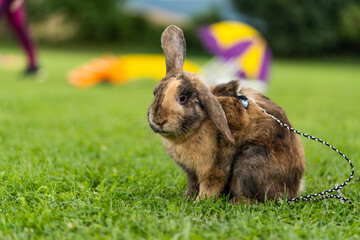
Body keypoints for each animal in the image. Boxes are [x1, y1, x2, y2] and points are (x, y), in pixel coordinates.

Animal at [148, 25, 306, 203]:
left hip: (249, 162)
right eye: (155, 93)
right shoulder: (191, 173)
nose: (159, 120)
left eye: (182, 98)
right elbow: (192, 185)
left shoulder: (213, 169)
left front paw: (199, 202)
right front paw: (186, 199)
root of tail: (294, 188)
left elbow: (210, 186)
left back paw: (237, 202)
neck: (198, 126)